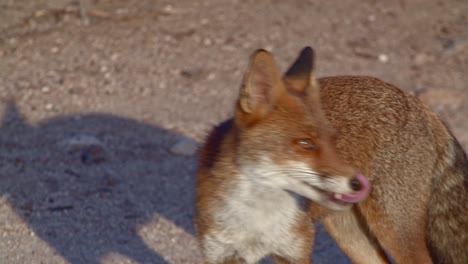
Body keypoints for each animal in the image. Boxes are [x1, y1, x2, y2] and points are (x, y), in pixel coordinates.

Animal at [195, 46, 468, 262]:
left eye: (333, 140)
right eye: (306, 143)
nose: (358, 182)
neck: (258, 219)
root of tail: (416, 102)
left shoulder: (296, 250)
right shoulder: (220, 254)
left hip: (393, 231)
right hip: (352, 237)